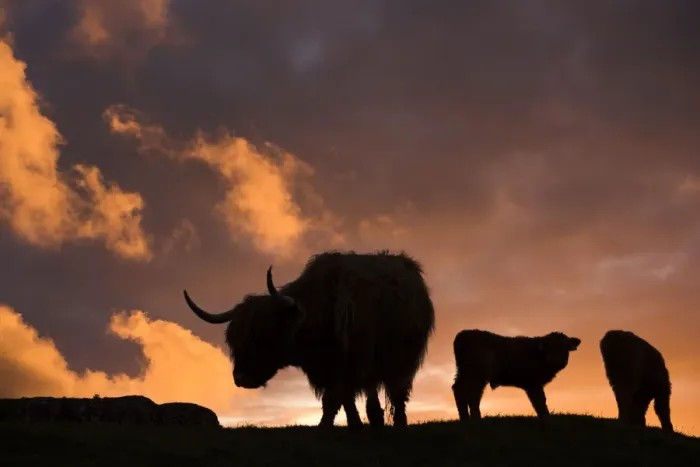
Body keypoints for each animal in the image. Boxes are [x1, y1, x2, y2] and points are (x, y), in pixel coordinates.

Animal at [183, 250, 436, 429]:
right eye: (233, 339)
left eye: (264, 334)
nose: (240, 378)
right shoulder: (333, 370)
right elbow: (344, 400)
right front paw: (355, 425)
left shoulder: (345, 366)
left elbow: (333, 400)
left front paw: (324, 427)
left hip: (400, 361)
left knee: (398, 393)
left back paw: (400, 424)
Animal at [451, 329, 581, 421]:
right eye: (549, 347)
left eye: (565, 347)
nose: (557, 360)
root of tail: (463, 334)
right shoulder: (533, 383)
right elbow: (539, 401)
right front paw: (546, 418)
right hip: (477, 374)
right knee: (473, 394)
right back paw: (476, 419)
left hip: (464, 372)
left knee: (458, 389)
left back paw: (465, 419)